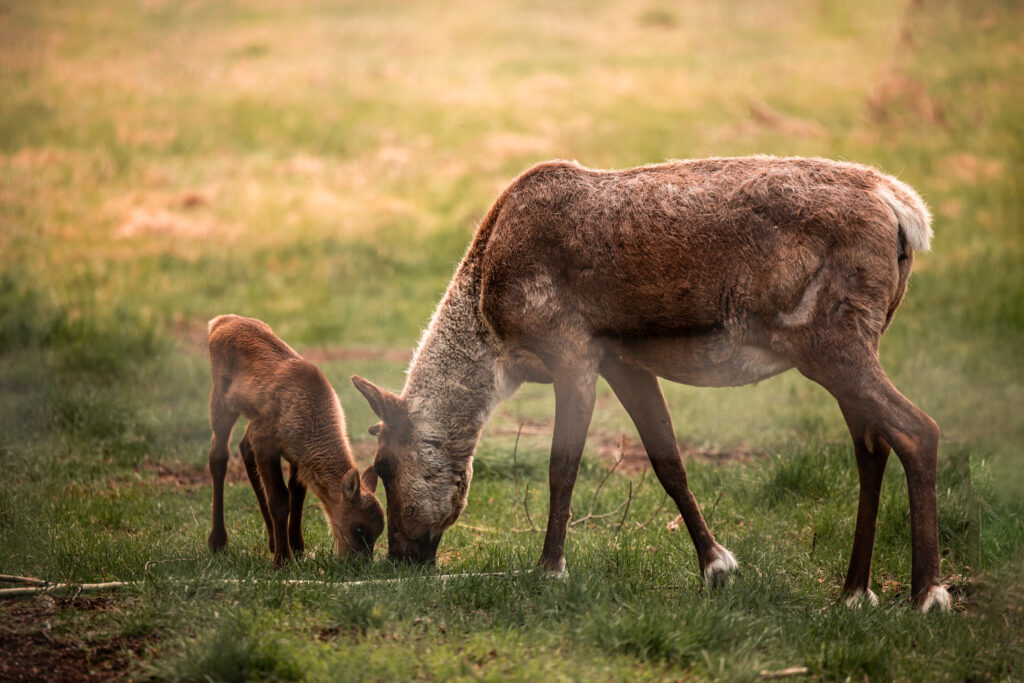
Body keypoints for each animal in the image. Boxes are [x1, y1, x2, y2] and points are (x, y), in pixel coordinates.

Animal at [207, 315, 385, 565]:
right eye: (359, 529)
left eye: (379, 532)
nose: (359, 563)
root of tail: (220, 321)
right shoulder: (266, 442)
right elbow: (280, 499)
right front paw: (283, 559)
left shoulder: (295, 455)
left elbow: (297, 494)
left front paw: (298, 547)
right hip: (222, 403)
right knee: (218, 456)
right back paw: (218, 541)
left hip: (253, 417)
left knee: (243, 447)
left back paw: (271, 541)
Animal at [352, 157, 950, 610]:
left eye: (383, 467)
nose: (401, 558)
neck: (495, 339)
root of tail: (904, 210)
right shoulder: (625, 362)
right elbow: (668, 461)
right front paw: (716, 565)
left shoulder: (572, 350)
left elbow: (562, 467)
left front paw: (549, 567)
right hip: (852, 344)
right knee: (872, 446)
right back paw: (854, 591)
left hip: (830, 342)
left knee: (917, 428)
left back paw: (927, 595)